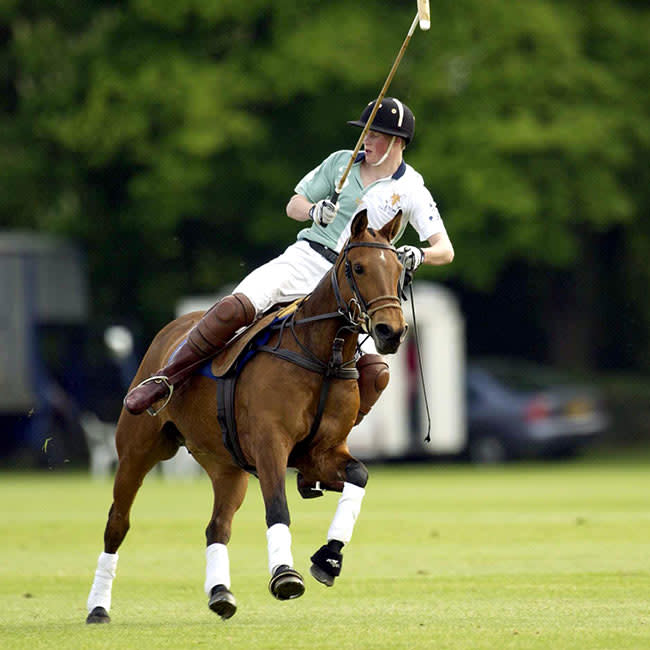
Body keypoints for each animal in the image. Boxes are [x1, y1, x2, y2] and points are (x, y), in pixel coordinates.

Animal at [85, 210, 404, 620]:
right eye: (359, 267)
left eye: (399, 269)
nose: (391, 331)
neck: (323, 355)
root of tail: (173, 327)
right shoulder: (271, 444)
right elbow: (278, 507)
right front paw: (285, 575)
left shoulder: (321, 453)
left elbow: (359, 475)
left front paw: (329, 559)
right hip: (136, 452)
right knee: (117, 523)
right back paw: (98, 607)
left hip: (225, 466)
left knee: (217, 526)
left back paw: (220, 593)